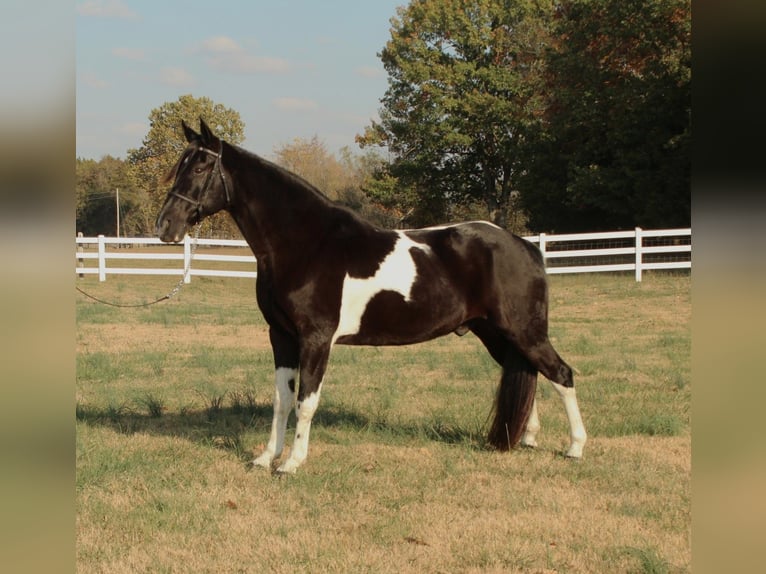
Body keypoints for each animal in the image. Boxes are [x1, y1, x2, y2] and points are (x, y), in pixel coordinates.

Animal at [156, 119, 588, 474]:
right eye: (181, 164)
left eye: (200, 167)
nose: (165, 226)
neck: (307, 243)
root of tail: (527, 248)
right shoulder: (281, 336)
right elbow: (282, 399)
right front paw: (265, 458)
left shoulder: (316, 338)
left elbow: (306, 402)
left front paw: (292, 463)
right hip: (496, 334)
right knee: (526, 371)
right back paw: (526, 438)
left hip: (524, 332)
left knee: (562, 374)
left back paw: (575, 448)